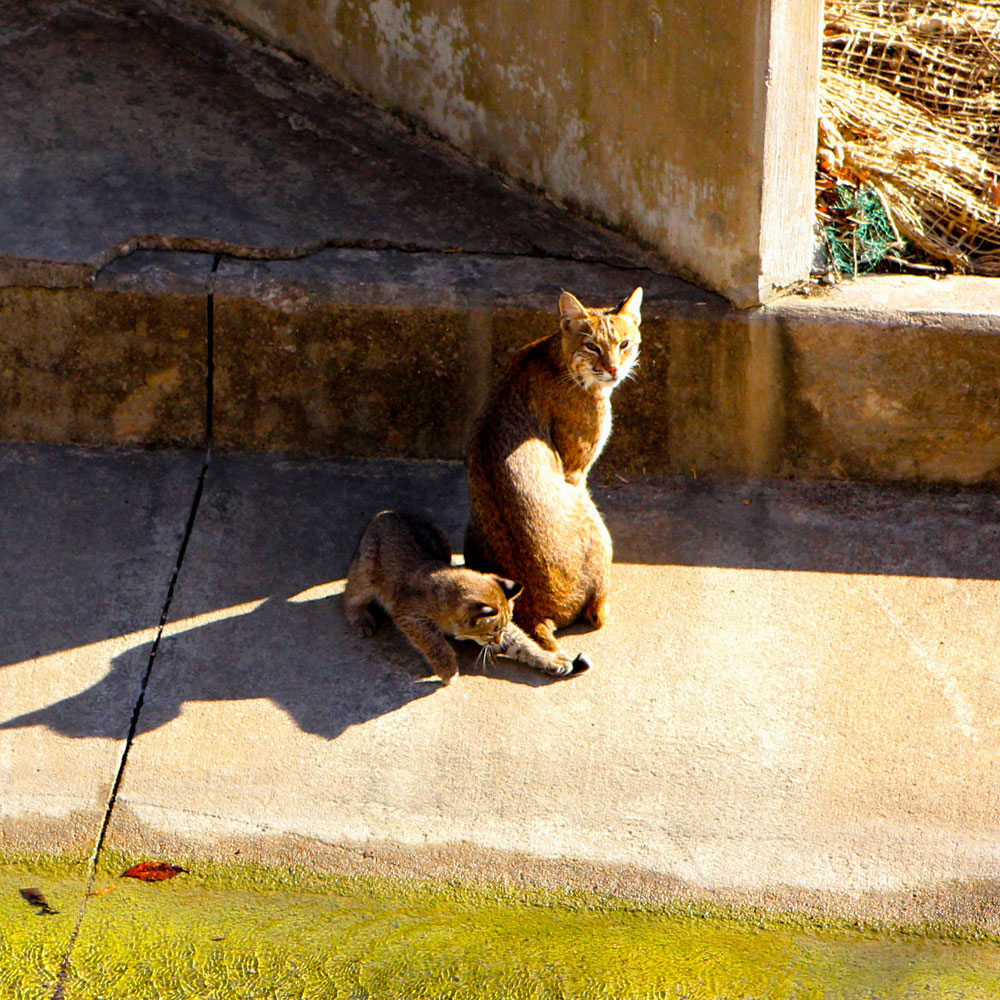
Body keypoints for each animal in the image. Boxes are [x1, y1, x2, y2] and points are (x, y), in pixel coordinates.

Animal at [346, 512, 584, 684]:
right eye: (492, 631)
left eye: (501, 630)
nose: (498, 641)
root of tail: (387, 512)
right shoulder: (407, 614)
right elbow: (434, 642)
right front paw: (448, 670)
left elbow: (523, 643)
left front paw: (550, 659)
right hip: (366, 575)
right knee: (350, 594)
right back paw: (360, 620)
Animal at [466, 288, 644, 656]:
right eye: (592, 346)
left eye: (624, 344)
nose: (614, 370)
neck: (555, 352)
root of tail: (533, 613)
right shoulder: (576, 471)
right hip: (593, 519)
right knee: (596, 615)